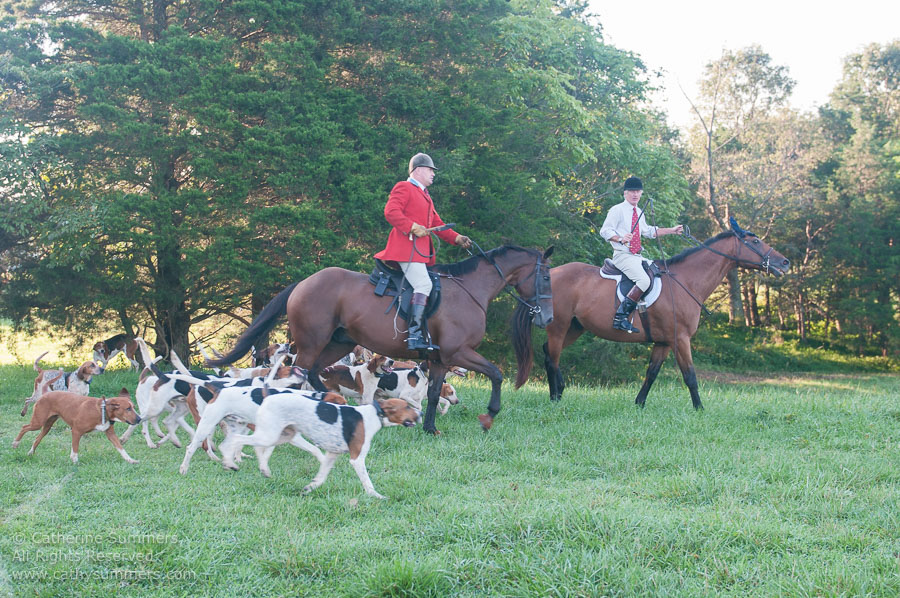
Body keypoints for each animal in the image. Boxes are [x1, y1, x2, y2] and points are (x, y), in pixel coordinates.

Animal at [12, 386, 142, 466]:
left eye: (133, 407)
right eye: (128, 409)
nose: (140, 419)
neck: (102, 411)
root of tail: (44, 395)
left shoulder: (110, 434)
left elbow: (121, 448)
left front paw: (130, 460)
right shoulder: (76, 431)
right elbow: (75, 449)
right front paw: (75, 462)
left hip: (47, 425)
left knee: (37, 438)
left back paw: (31, 452)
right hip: (38, 422)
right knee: (24, 427)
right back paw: (15, 443)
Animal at [209, 246, 556, 434]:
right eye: (547, 276)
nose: (548, 319)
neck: (470, 290)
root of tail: (305, 282)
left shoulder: (440, 359)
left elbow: (433, 394)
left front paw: (430, 428)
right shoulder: (459, 352)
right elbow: (496, 374)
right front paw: (489, 415)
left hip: (338, 343)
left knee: (315, 374)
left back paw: (332, 406)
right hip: (311, 344)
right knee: (300, 376)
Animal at [512, 223, 788, 410]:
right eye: (755, 241)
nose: (784, 263)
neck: (686, 281)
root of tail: (550, 274)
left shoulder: (663, 342)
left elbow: (652, 373)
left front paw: (639, 403)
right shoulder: (681, 339)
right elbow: (690, 376)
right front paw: (699, 409)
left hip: (575, 327)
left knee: (549, 351)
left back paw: (560, 391)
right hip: (559, 326)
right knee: (552, 357)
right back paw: (555, 397)